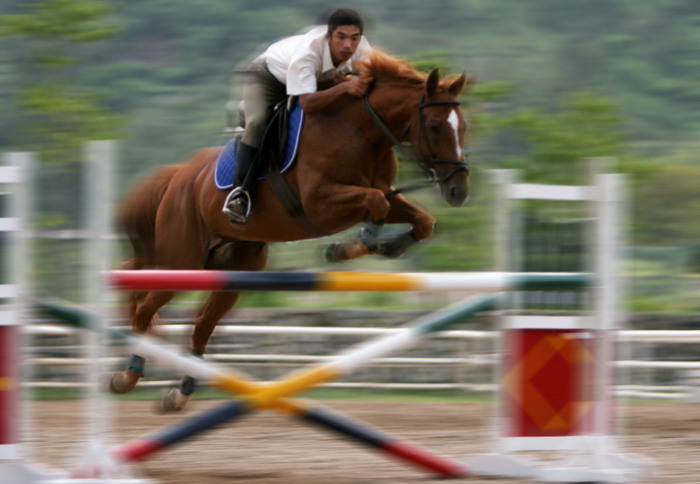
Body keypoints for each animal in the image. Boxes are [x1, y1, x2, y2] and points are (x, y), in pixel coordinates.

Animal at [112, 50, 474, 412]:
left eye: (464, 127)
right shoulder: (321, 205)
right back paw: (128, 375)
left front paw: (380, 247)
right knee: (145, 308)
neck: (361, 130)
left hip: (233, 272)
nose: (458, 191)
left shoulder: (384, 193)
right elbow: (377, 204)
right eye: (434, 126)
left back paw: (180, 392)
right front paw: (352, 246)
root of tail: (176, 175)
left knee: (201, 324)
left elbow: (421, 221)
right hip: (182, 262)